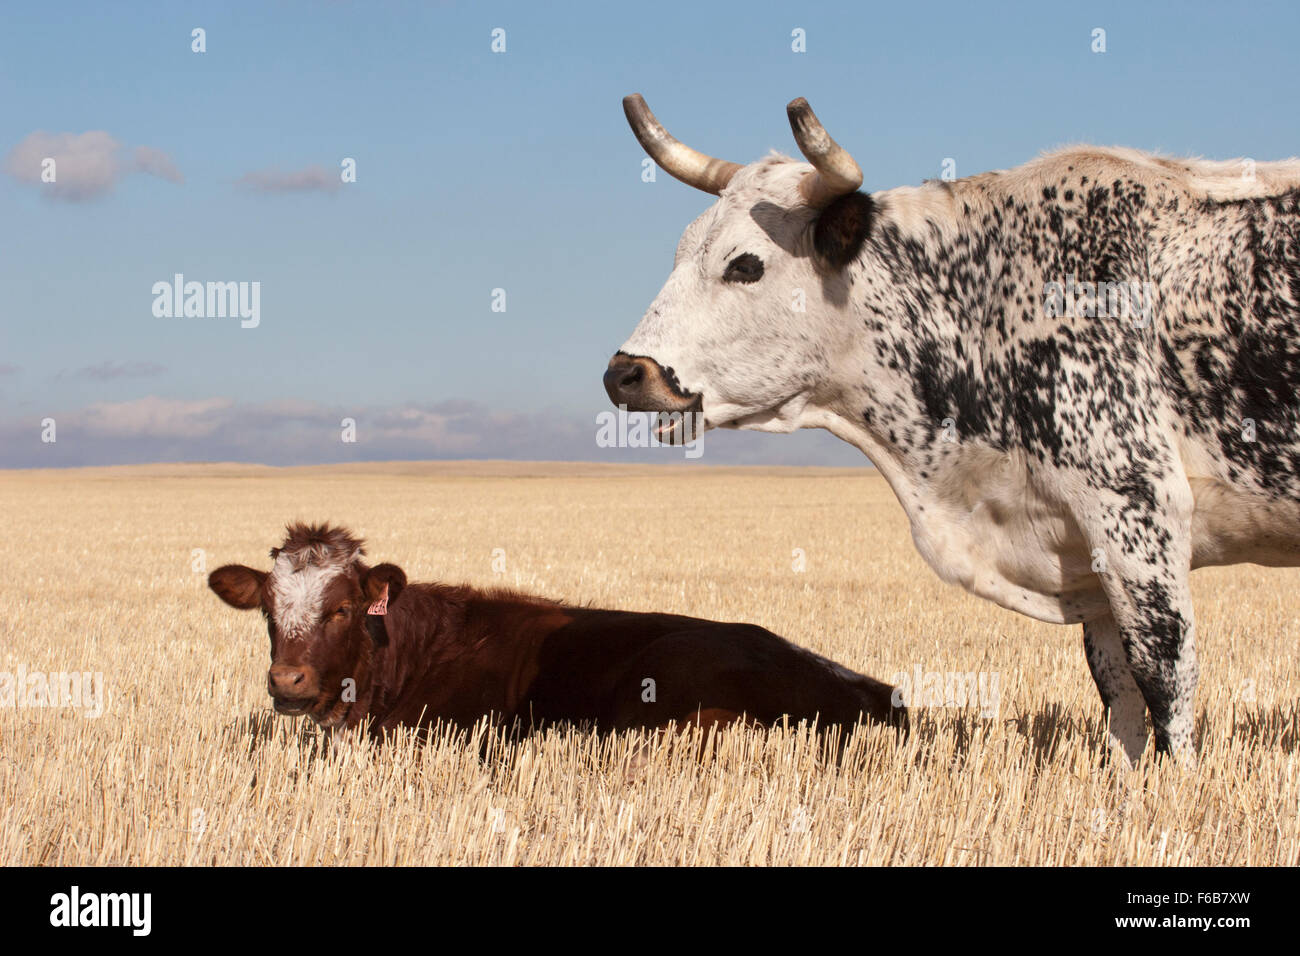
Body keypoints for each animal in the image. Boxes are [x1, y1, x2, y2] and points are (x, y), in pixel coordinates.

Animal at [604, 93, 1300, 765]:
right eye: (680, 251)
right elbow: (1118, 692)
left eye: (745, 265)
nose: (624, 375)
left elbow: (1165, 679)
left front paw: (1177, 788)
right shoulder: (1089, 552)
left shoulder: (1138, 511)